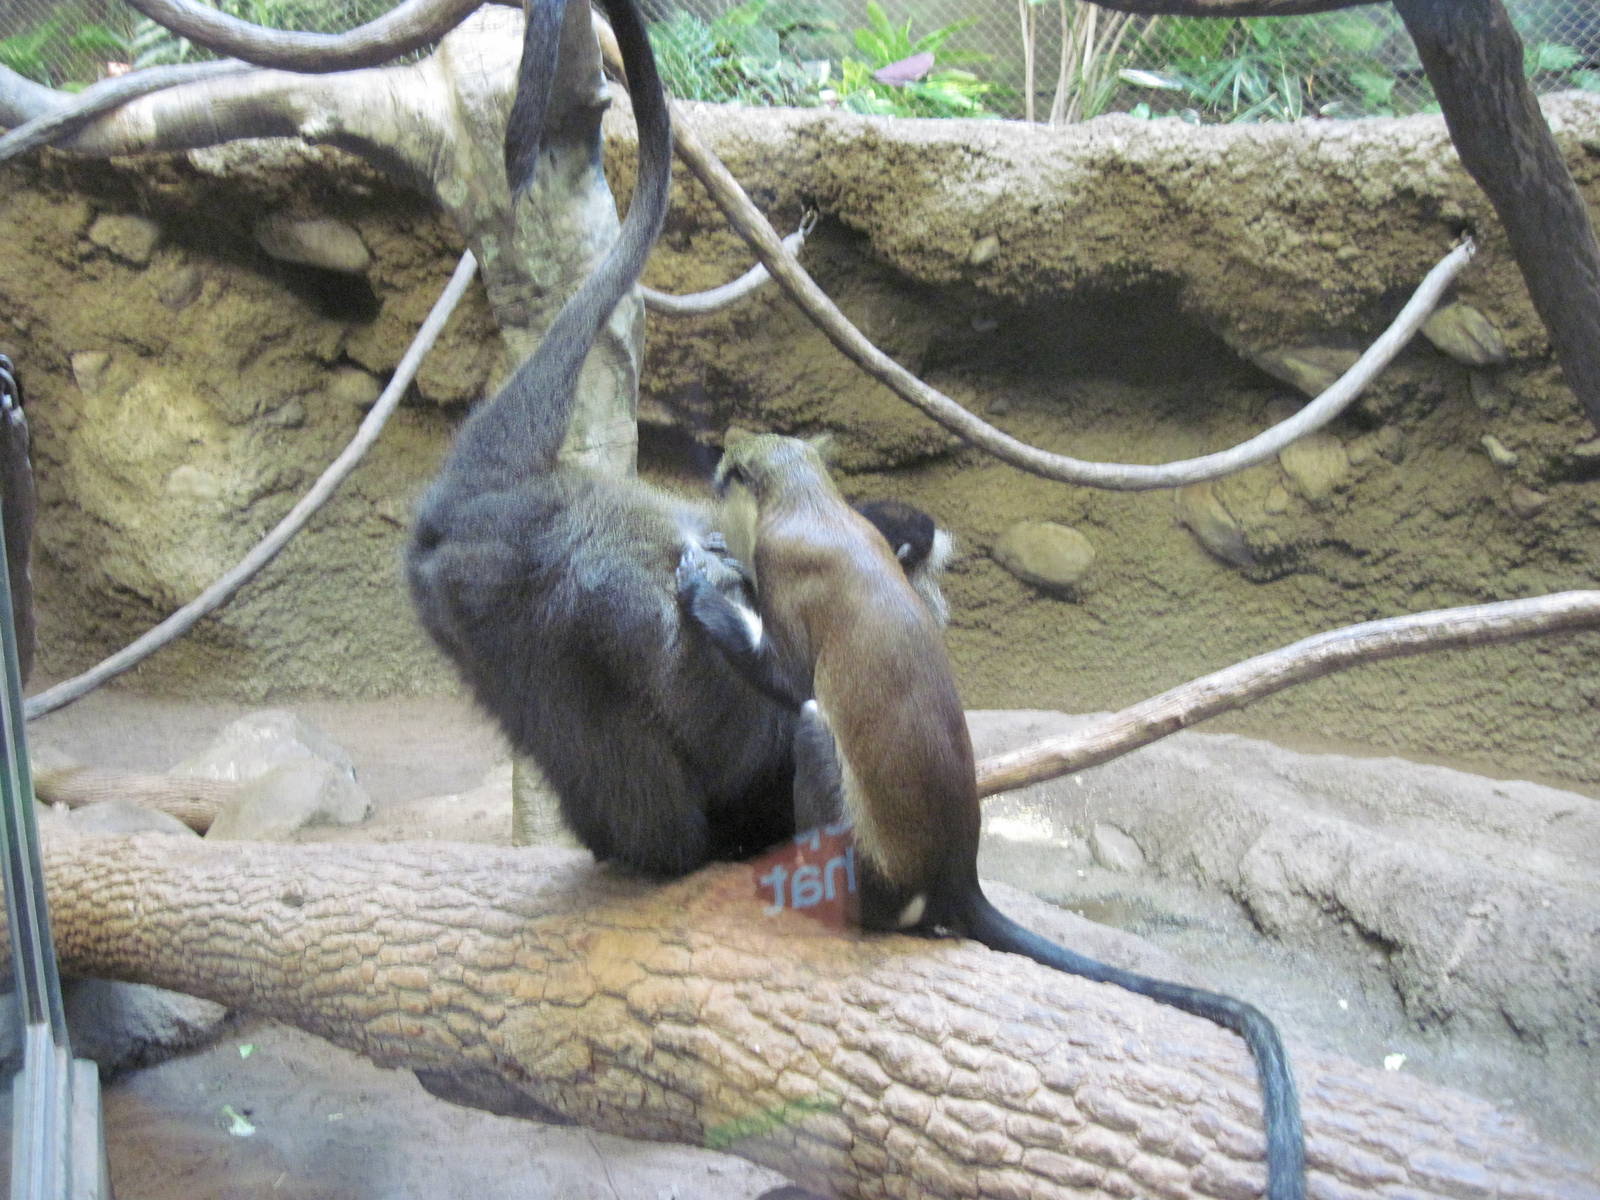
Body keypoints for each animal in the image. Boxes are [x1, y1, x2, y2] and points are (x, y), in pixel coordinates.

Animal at [676, 433, 1306, 1200]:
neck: (808, 499)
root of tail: (955, 877)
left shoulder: (787, 578)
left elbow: (791, 681)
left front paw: (706, 590)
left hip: (866, 865)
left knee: (813, 723)